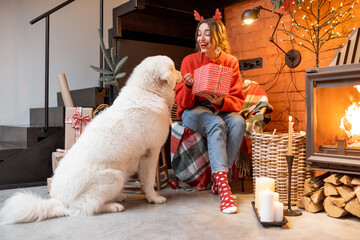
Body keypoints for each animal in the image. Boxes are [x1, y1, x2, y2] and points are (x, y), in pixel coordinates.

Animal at [0, 55, 181, 224]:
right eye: (173, 68)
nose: (180, 72)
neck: (147, 91)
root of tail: (59, 201)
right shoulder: (151, 153)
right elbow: (149, 181)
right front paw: (154, 198)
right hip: (115, 176)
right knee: (84, 207)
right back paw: (113, 205)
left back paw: (118, 197)